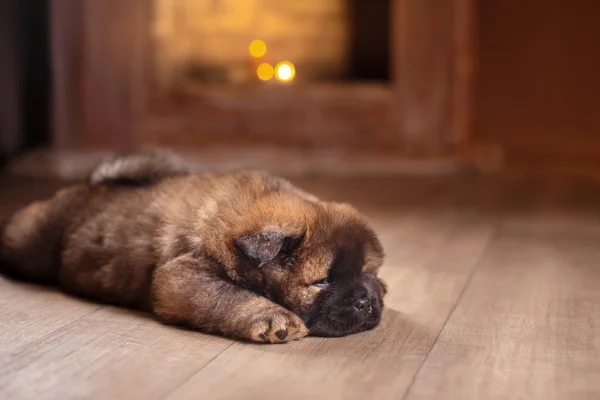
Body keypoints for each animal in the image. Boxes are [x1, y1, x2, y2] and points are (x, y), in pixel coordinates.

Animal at [1, 150, 384, 344]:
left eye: (368, 271)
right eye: (322, 281)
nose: (367, 301)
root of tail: (91, 185)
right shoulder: (182, 274)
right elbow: (232, 296)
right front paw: (275, 319)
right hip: (30, 243)